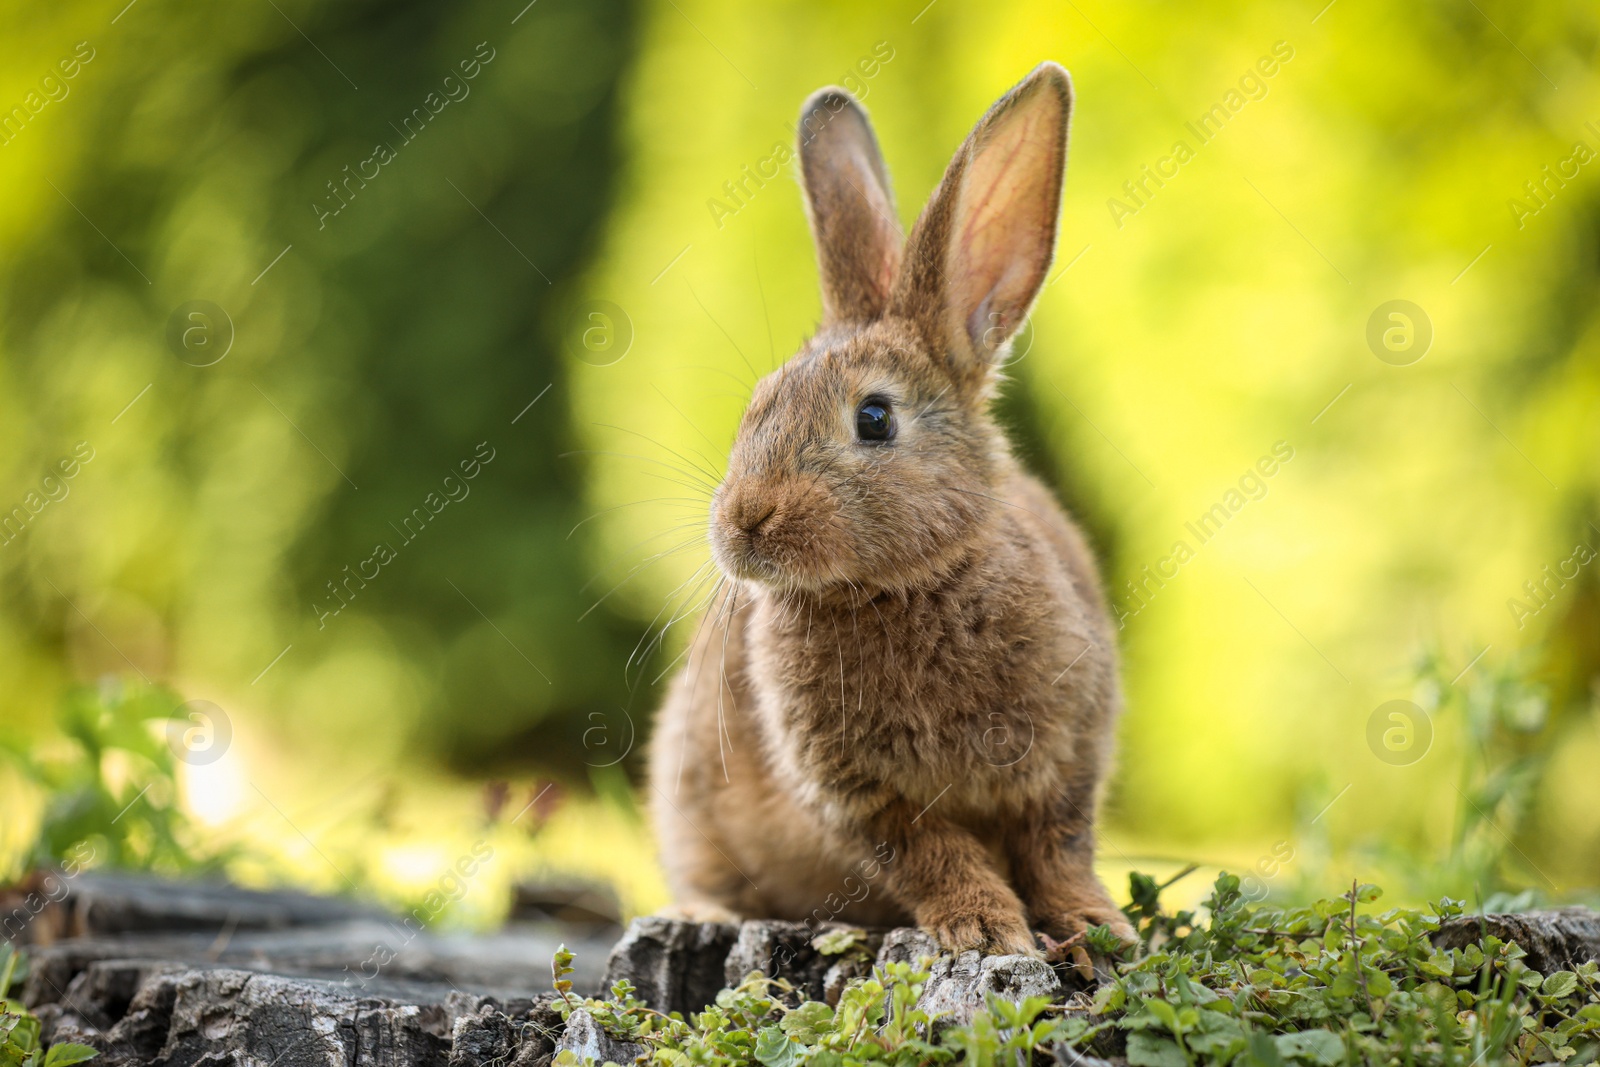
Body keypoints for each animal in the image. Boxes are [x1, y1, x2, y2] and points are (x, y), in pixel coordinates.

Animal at [643, 62, 1132, 953]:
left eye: (874, 418)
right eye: (756, 406)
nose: (744, 523)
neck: (912, 580)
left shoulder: (1069, 759)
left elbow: (1058, 847)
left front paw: (1094, 927)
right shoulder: (865, 797)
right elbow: (934, 855)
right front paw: (984, 929)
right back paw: (701, 914)